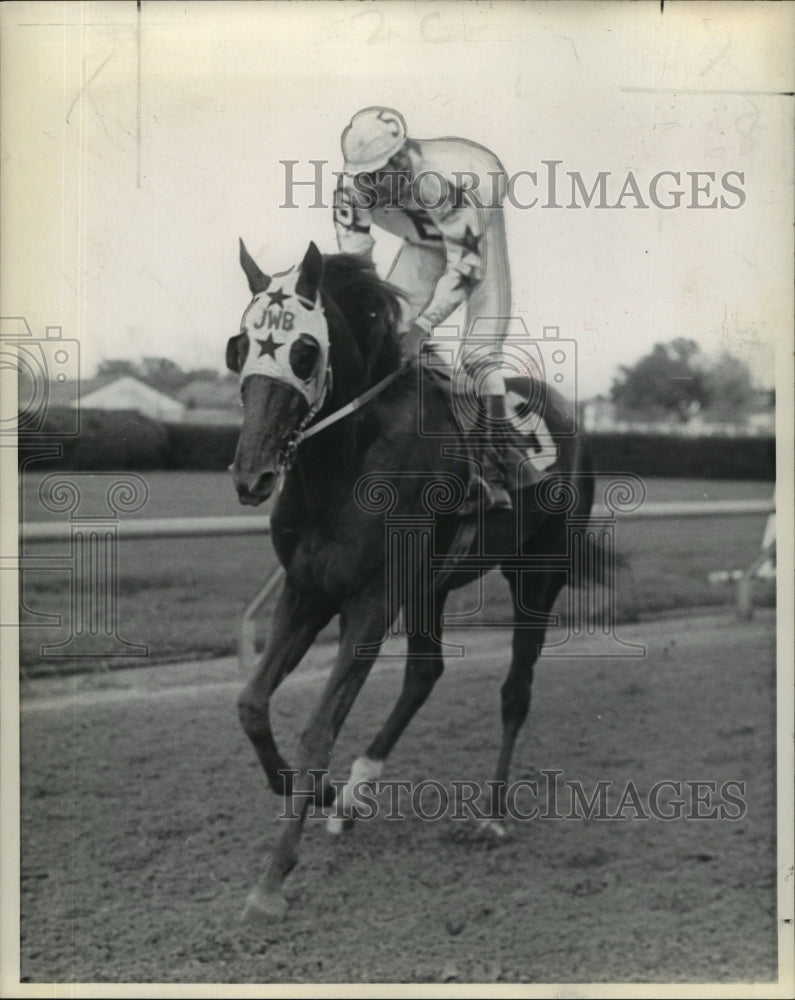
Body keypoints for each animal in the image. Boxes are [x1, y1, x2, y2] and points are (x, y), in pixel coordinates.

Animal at [227, 238, 592, 916]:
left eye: (304, 350)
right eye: (240, 345)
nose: (252, 475)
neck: (343, 463)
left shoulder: (370, 602)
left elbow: (319, 731)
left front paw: (271, 881)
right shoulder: (307, 590)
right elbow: (252, 705)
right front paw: (317, 794)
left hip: (538, 574)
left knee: (516, 689)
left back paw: (491, 814)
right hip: (430, 585)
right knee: (425, 673)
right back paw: (354, 794)